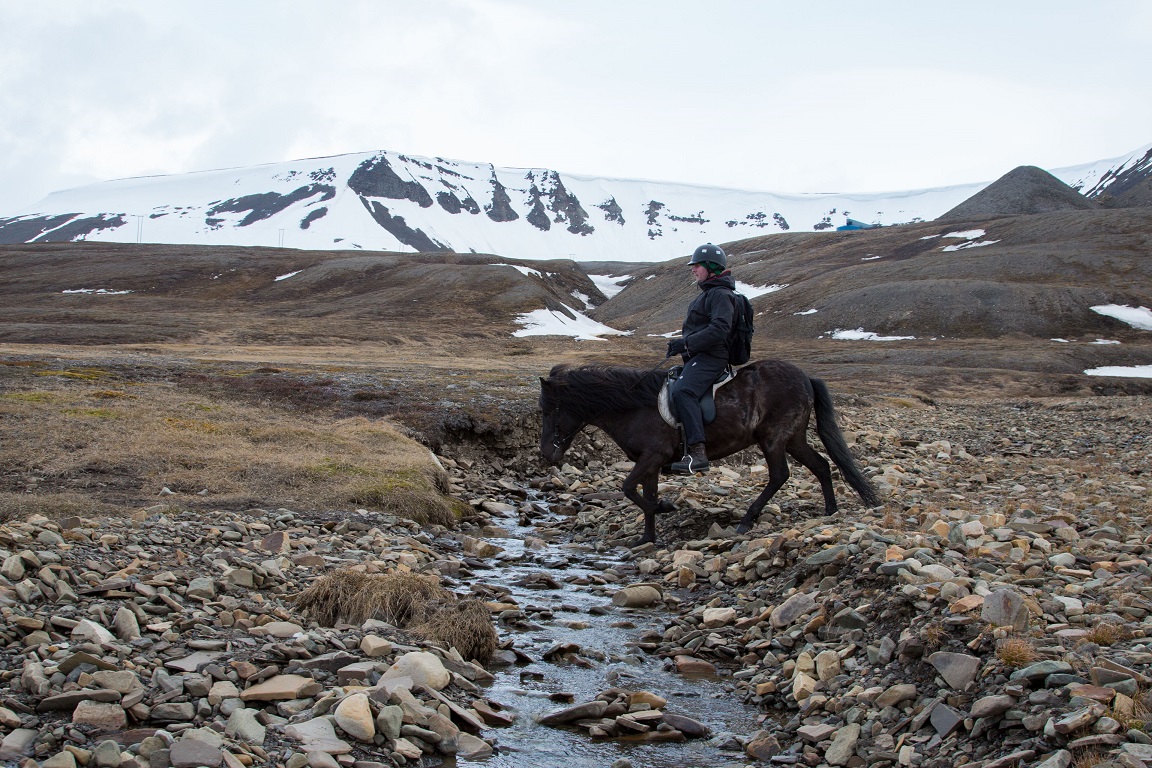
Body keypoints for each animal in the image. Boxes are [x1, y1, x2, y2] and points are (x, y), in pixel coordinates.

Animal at [534, 361, 875, 545]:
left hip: (774, 439)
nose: (547, 454)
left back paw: (747, 520)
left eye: (550, 410)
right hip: (794, 439)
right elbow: (644, 495)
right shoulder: (651, 463)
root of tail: (805, 378)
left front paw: (666, 508)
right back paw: (830, 510)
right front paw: (647, 538)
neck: (633, 406)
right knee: (821, 465)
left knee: (780, 475)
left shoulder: (653, 456)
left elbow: (628, 488)